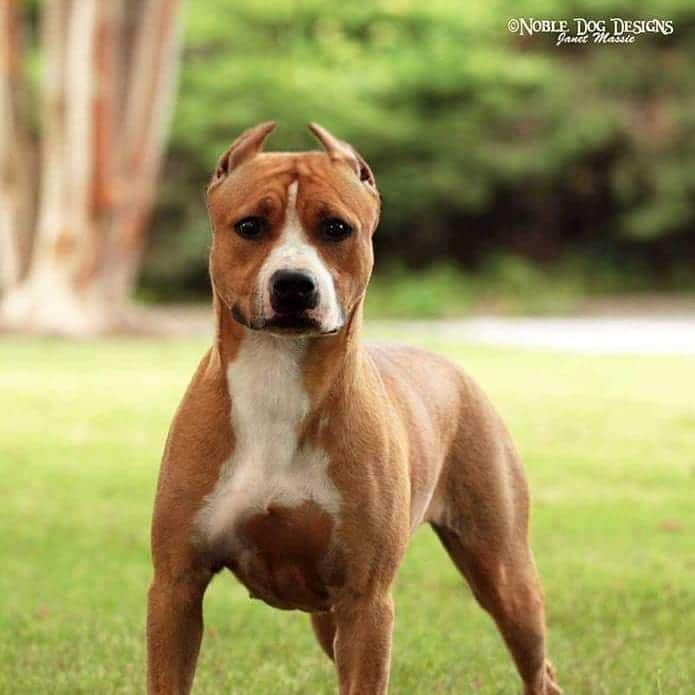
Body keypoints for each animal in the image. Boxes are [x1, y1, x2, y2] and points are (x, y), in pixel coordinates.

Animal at [148, 122, 564, 692]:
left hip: (504, 571)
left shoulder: (366, 601)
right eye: (250, 226)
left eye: (336, 228)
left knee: (537, 663)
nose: (294, 284)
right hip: (329, 617)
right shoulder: (175, 586)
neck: (277, 379)